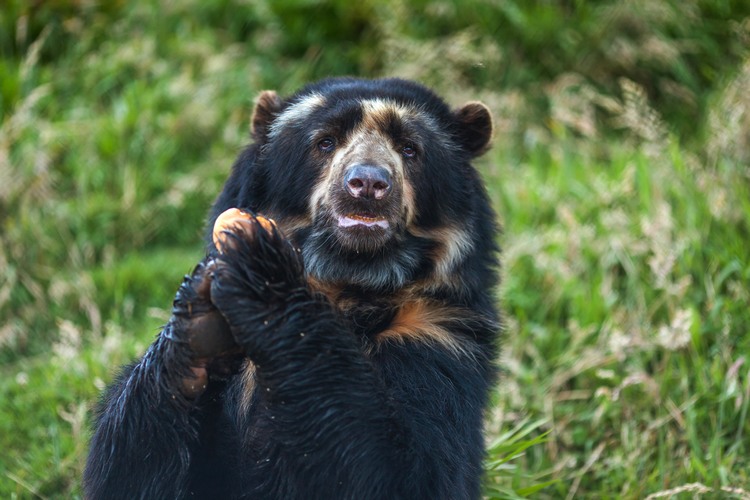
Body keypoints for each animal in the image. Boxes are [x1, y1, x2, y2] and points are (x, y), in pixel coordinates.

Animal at [83, 77, 500, 500]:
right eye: (325, 142)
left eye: (410, 149)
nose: (367, 184)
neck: (350, 284)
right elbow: (127, 466)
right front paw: (200, 324)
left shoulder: (437, 335)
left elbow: (403, 469)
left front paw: (258, 263)